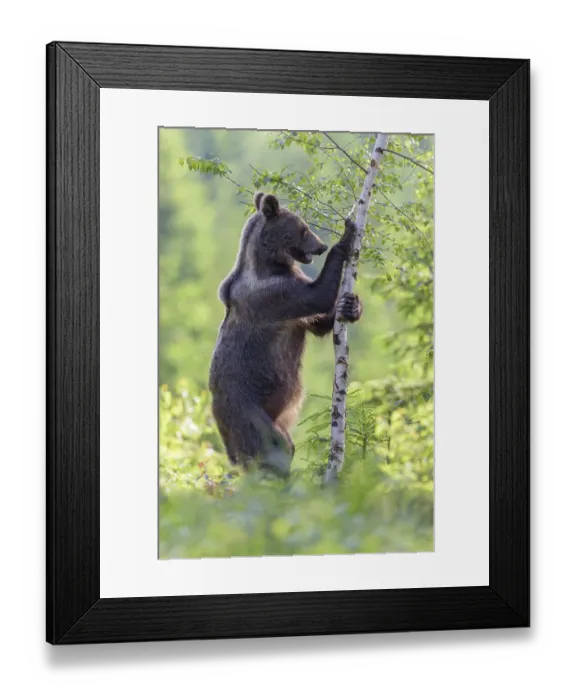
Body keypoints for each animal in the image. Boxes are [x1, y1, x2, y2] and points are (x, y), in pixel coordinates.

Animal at [208, 192, 363, 477]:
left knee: (285, 444)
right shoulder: (273, 295)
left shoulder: (290, 292)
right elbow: (317, 296)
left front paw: (351, 305)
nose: (321, 246)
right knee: (271, 447)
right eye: (303, 229)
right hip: (245, 410)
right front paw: (345, 238)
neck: (269, 264)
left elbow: (319, 322)